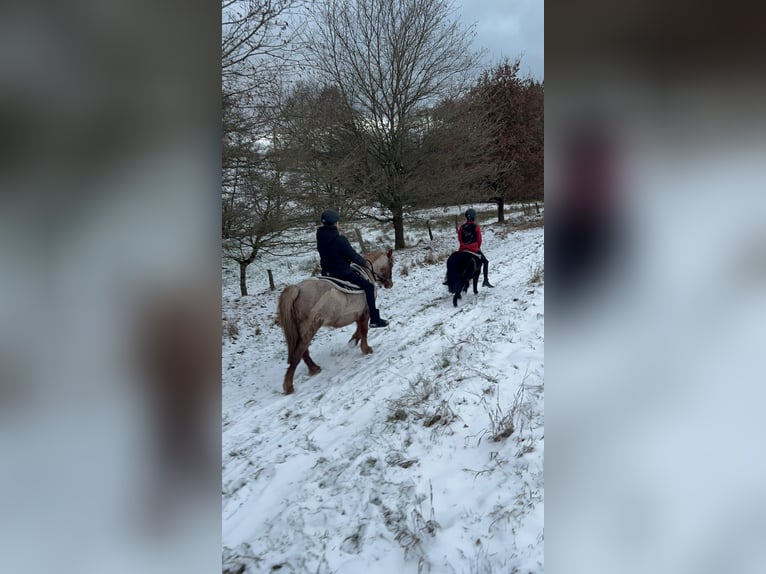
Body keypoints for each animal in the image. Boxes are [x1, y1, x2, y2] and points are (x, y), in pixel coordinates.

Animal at [277, 249, 394, 394]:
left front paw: (353, 340)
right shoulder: (366, 311)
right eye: (391, 264)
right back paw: (289, 386)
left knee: (303, 351)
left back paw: (314, 368)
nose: (390, 284)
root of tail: (297, 289)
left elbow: (359, 328)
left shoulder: (357, 312)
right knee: (298, 353)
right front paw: (366, 349)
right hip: (310, 327)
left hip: (301, 330)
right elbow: (364, 330)